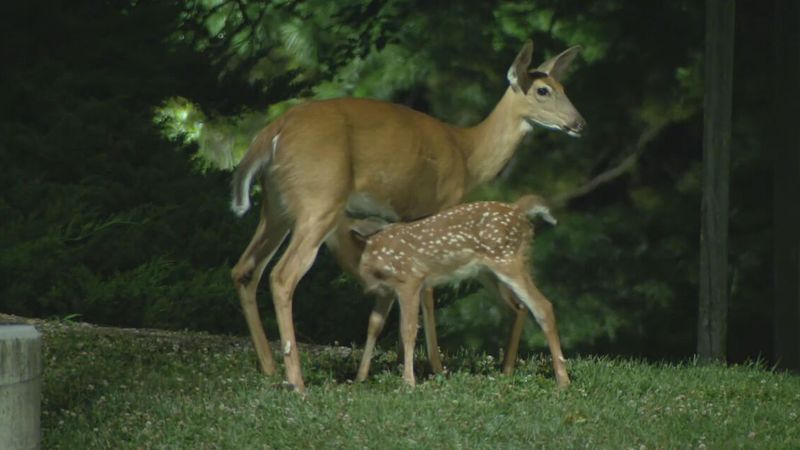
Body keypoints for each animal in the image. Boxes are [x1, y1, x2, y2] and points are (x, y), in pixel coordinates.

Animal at [349, 194, 569, 388]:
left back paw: (563, 381)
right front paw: (360, 378)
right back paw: (506, 371)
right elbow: (374, 324)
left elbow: (408, 329)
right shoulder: (385, 292)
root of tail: (518, 209)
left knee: (543, 306)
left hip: (508, 261)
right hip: (488, 273)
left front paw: (409, 382)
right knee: (519, 308)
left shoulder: (410, 280)